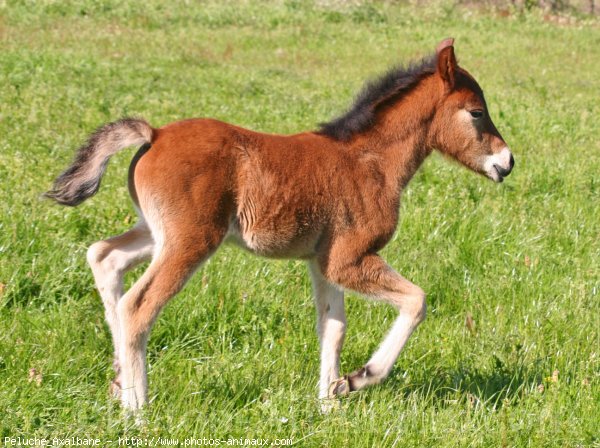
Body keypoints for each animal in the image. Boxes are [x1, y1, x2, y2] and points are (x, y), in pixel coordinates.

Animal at [47, 39, 516, 412]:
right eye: (476, 112)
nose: (507, 162)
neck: (369, 161)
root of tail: (154, 134)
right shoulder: (349, 258)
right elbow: (416, 301)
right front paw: (360, 378)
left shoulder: (322, 262)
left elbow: (333, 327)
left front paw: (329, 403)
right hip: (190, 240)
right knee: (138, 306)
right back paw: (138, 411)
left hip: (155, 232)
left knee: (104, 257)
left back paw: (118, 383)